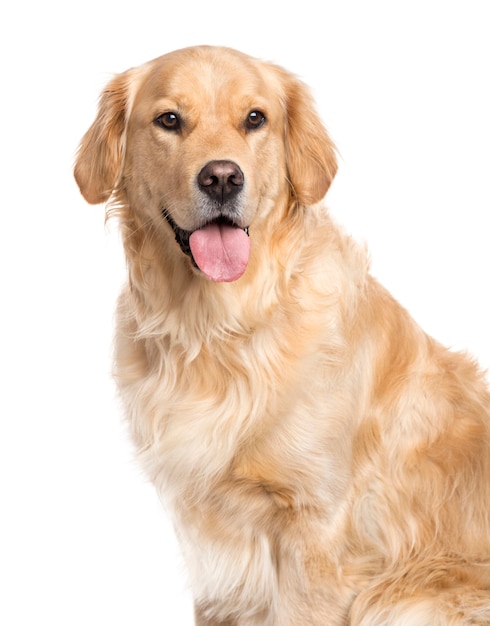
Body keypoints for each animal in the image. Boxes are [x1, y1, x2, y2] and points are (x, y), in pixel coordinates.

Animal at [74, 46, 490, 620]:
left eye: (255, 118)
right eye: (169, 120)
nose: (222, 178)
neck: (220, 326)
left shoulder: (316, 529)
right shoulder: (213, 546)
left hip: (401, 596)